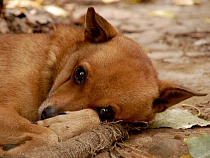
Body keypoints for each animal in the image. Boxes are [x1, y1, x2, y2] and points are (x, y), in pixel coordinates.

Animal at [0, 7, 207, 156]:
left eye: (106, 112)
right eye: (79, 73)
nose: (46, 114)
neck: (50, 64)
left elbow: (56, 132)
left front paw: (61, 124)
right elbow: (47, 136)